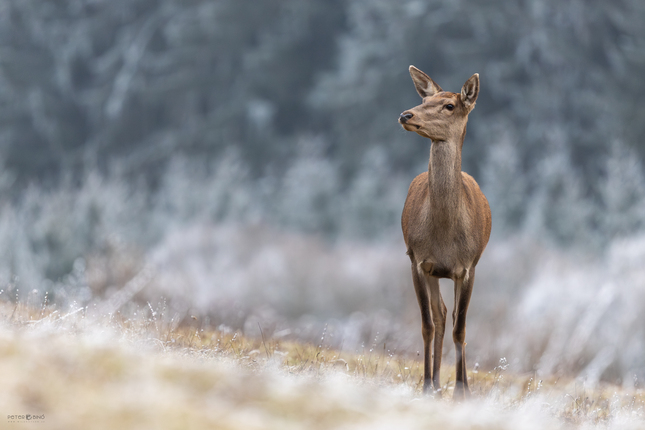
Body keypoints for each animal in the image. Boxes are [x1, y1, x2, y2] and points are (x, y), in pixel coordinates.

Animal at [394, 66, 490, 400]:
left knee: (451, 316)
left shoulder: (469, 267)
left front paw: (462, 390)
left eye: (449, 105)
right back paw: (435, 382)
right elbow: (427, 324)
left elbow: (461, 328)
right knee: (440, 314)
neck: (445, 236)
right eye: (425, 99)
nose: (406, 114)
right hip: (433, 272)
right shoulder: (417, 260)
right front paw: (425, 384)